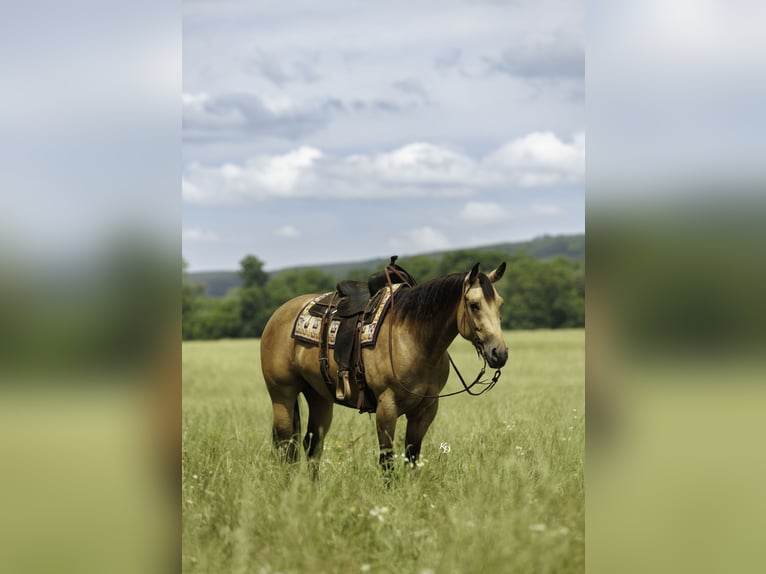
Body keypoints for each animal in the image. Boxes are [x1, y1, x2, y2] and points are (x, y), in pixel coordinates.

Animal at [260, 262, 509, 475]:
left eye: (500, 304)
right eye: (474, 305)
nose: (500, 353)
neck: (413, 337)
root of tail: (278, 315)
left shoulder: (426, 409)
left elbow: (412, 458)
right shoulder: (386, 407)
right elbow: (387, 461)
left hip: (319, 397)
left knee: (312, 446)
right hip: (282, 395)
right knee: (285, 446)